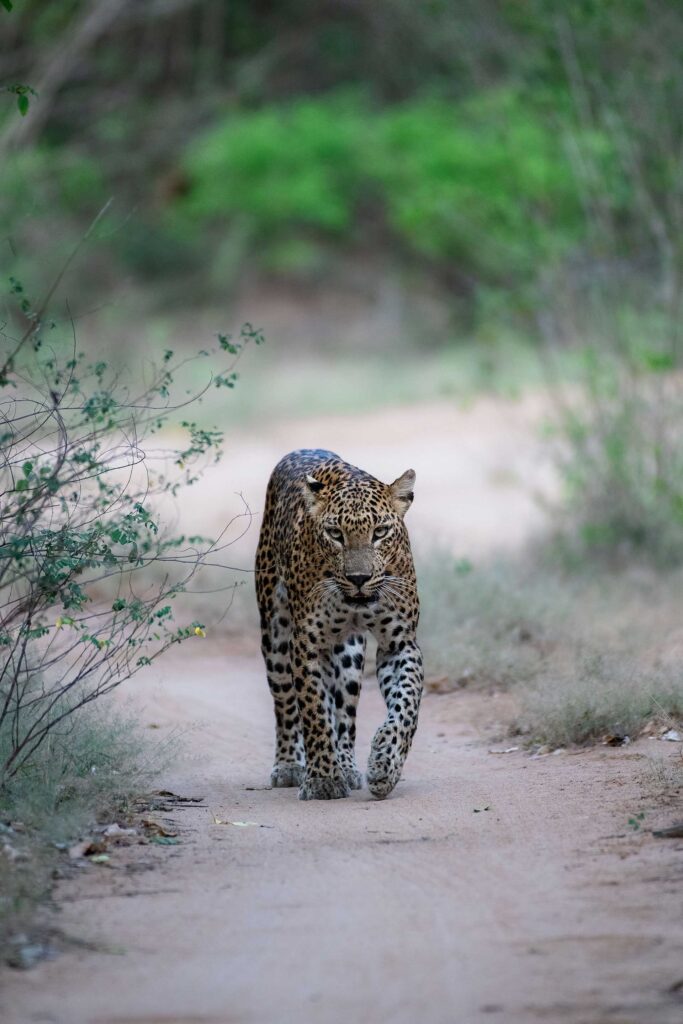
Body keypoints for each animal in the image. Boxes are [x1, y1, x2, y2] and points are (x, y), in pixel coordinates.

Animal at [254, 448, 421, 798]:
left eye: (380, 532)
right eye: (335, 535)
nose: (358, 578)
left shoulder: (399, 643)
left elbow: (407, 704)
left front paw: (385, 763)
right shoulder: (305, 644)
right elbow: (314, 711)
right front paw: (322, 779)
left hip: (348, 653)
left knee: (345, 714)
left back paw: (346, 765)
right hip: (275, 635)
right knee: (286, 704)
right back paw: (289, 765)